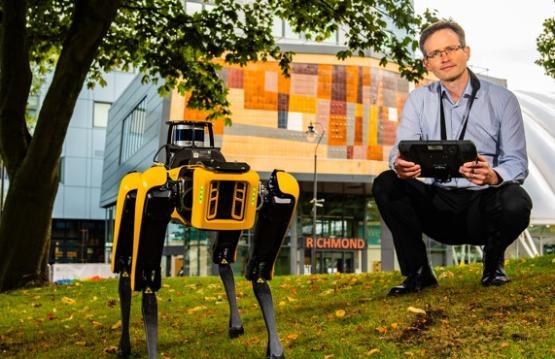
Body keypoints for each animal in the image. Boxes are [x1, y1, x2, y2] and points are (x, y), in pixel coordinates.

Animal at [110, 121, 298, 359]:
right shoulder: (156, 192)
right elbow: (146, 279)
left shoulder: (274, 194)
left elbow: (259, 271)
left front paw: (274, 347)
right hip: (132, 193)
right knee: (125, 263)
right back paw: (123, 346)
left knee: (224, 257)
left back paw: (236, 324)